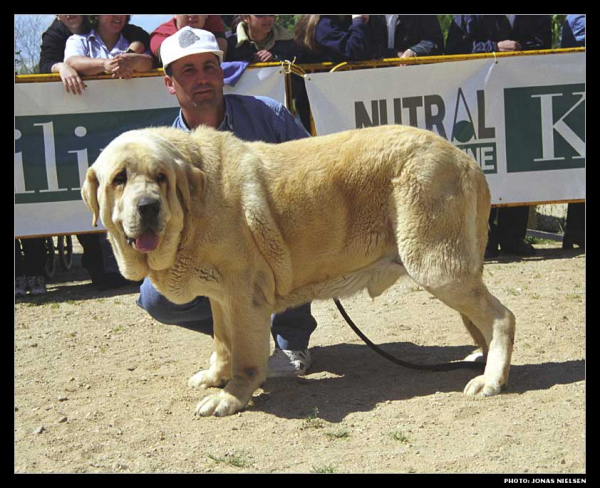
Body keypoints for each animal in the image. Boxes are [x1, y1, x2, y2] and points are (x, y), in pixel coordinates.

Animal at [82, 124, 516, 418]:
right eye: (119, 180)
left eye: (161, 178)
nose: (148, 207)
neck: (193, 204)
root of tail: (467, 160)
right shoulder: (221, 297)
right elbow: (223, 344)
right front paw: (216, 376)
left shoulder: (245, 298)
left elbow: (246, 358)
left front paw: (230, 397)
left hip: (436, 265)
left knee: (501, 317)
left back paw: (492, 379)